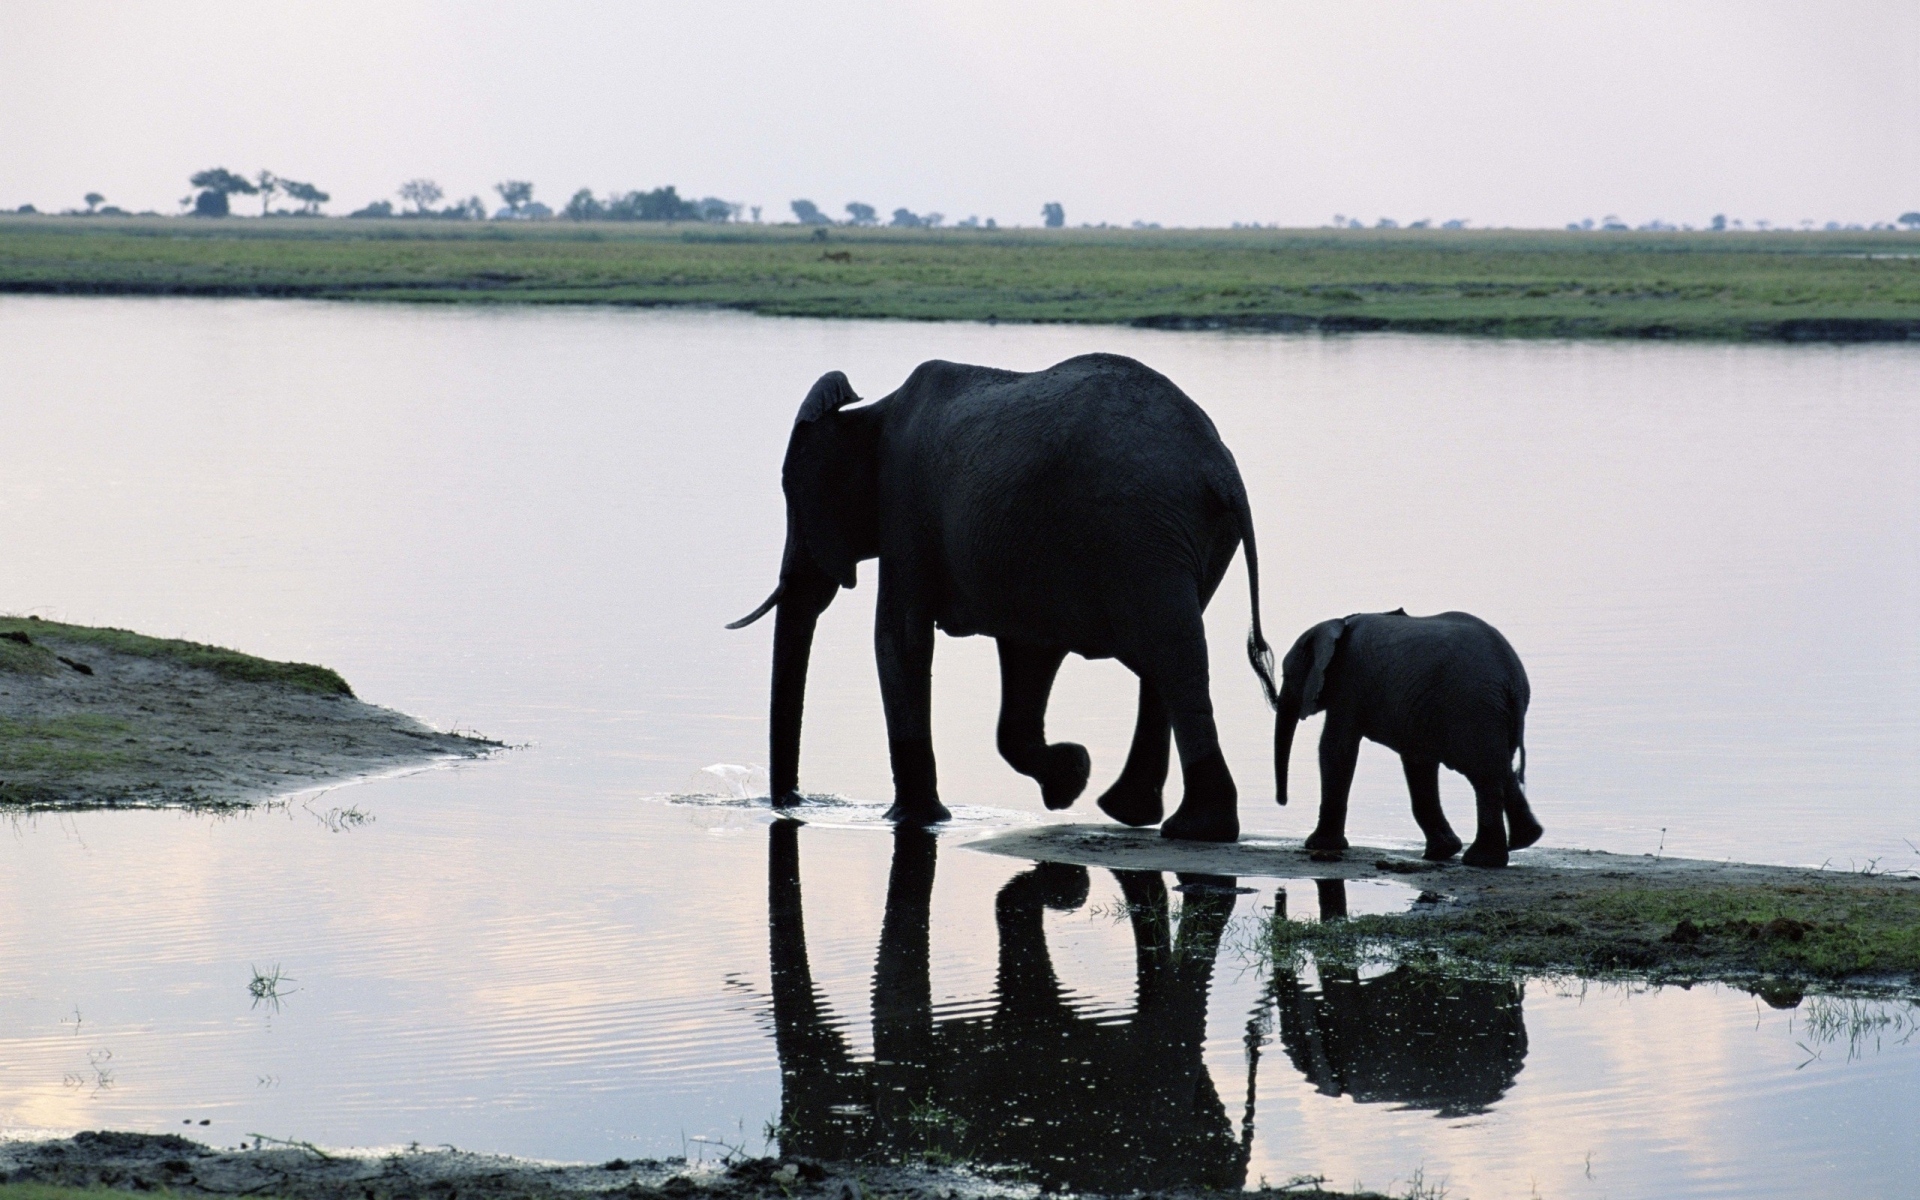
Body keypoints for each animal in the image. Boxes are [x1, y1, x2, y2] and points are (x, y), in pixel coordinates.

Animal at [730, 353, 1280, 842]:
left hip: (1142, 531)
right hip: (1176, 539)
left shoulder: (904, 507)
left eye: (791, 498)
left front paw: (914, 819)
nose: (792, 803)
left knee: (1169, 655)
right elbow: (1028, 655)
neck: (870, 414)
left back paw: (1191, 828)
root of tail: (1219, 467)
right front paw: (1070, 777)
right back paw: (1141, 814)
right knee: (1168, 654)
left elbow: (898, 637)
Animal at [1274, 610, 1542, 868]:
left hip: (1474, 708)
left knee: (1484, 776)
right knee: (1501, 769)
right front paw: (1443, 851)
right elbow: (1418, 763)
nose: (1282, 801)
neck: (1338, 622)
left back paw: (1482, 860)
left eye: (1286, 675)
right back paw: (1526, 839)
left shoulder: (1347, 684)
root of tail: (1510, 677)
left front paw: (1318, 845)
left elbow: (1335, 749)